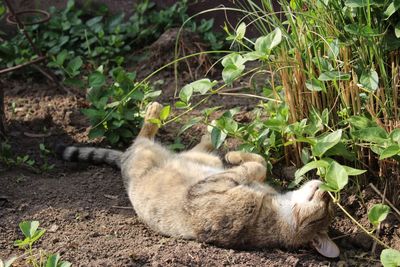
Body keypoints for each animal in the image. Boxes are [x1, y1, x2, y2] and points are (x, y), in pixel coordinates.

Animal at [58, 102, 340, 258]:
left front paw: (238, 158)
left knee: (142, 137)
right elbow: (259, 162)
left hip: (144, 154)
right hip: (200, 158)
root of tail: (124, 160)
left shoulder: (206, 191)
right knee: (199, 146)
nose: (326, 188)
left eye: (325, 208)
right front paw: (236, 154)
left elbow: (254, 166)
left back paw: (156, 111)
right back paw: (213, 126)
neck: (277, 207)